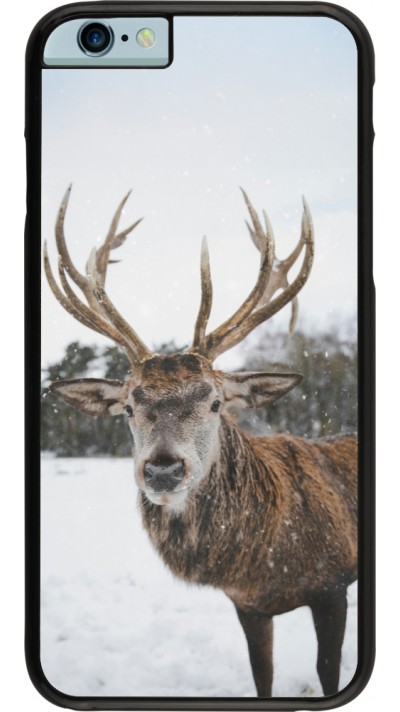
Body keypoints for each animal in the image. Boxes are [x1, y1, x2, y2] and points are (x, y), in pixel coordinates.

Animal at [44, 186, 357, 698]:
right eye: (128, 407)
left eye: (215, 402)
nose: (163, 469)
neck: (266, 563)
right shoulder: (247, 605)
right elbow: (262, 676)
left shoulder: (333, 586)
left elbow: (328, 672)